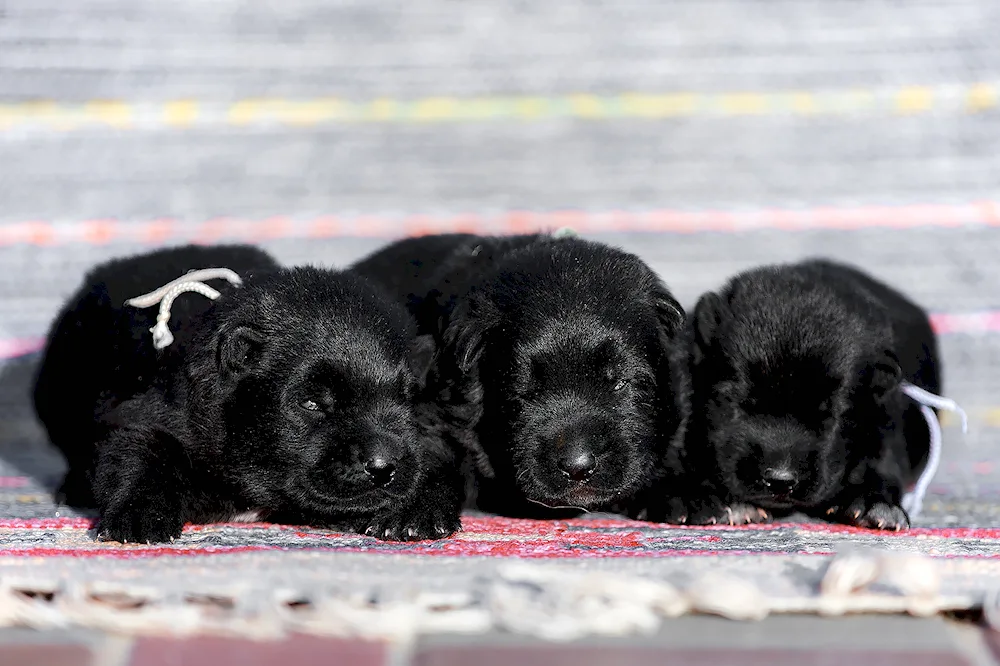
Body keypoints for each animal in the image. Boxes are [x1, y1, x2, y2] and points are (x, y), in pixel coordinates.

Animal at [30, 241, 454, 544]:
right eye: (312, 403)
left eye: (405, 401)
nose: (383, 466)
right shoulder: (150, 412)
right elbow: (139, 448)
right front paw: (140, 516)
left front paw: (414, 512)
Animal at [352, 233, 688, 520]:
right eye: (523, 391)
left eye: (620, 382)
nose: (578, 467)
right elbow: (432, 447)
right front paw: (411, 508)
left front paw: (674, 491)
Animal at [676, 260, 940, 528]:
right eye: (736, 404)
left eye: (830, 417)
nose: (780, 480)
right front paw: (696, 498)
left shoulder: (885, 415)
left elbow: (884, 459)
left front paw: (874, 503)